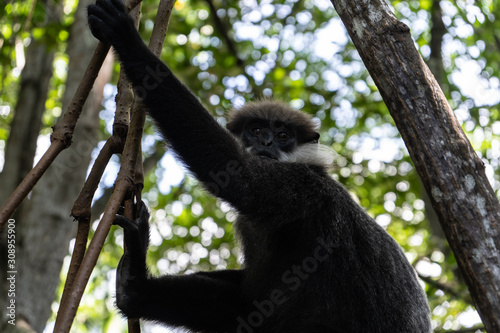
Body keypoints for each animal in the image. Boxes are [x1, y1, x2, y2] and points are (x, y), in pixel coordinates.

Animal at [86, 1, 430, 330]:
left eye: (282, 135)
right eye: (256, 130)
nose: (266, 143)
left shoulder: (301, 189)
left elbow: (238, 175)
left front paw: (127, 38)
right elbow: (248, 298)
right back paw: (135, 289)